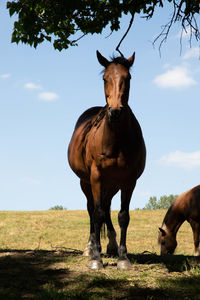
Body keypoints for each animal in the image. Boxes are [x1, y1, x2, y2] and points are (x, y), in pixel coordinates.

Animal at [68, 51, 146, 270]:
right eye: (105, 79)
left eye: (128, 78)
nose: (115, 111)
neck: (115, 141)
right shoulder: (96, 177)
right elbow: (97, 213)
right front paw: (96, 259)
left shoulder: (128, 180)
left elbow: (123, 216)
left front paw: (123, 258)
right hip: (87, 182)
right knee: (92, 209)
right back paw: (90, 248)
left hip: (112, 184)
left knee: (107, 207)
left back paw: (110, 246)